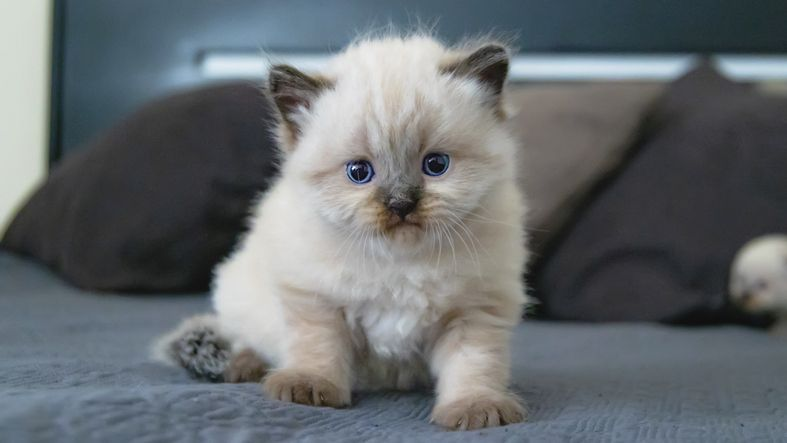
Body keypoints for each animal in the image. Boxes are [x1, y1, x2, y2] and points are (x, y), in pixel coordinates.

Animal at [154, 34, 528, 430]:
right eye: (359, 172)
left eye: (436, 165)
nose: (400, 204)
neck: (401, 263)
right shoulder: (315, 300)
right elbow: (318, 349)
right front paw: (306, 388)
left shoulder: (475, 312)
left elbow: (474, 366)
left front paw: (476, 408)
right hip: (243, 295)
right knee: (244, 338)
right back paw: (243, 368)